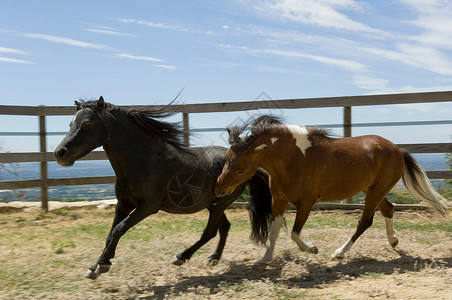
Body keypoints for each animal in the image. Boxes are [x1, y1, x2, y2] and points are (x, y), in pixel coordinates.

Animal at [53, 97, 272, 280]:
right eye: (71, 123)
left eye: (87, 124)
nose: (59, 153)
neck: (143, 160)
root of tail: (251, 167)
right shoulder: (123, 204)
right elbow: (110, 234)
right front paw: (97, 265)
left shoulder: (148, 206)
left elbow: (118, 230)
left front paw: (100, 267)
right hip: (213, 204)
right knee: (224, 227)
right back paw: (213, 258)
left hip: (221, 203)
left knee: (209, 232)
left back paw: (181, 257)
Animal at [215, 116, 448, 264]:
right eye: (226, 159)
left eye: (241, 169)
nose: (218, 188)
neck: (295, 159)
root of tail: (398, 150)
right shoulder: (278, 201)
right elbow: (274, 232)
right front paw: (265, 259)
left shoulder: (306, 202)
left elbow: (294, 233)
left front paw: (313, 249)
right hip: (372, 189)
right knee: (388, 209)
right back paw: (393, 241)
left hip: (376, 191)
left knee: (365, 221)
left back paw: (339, 253)